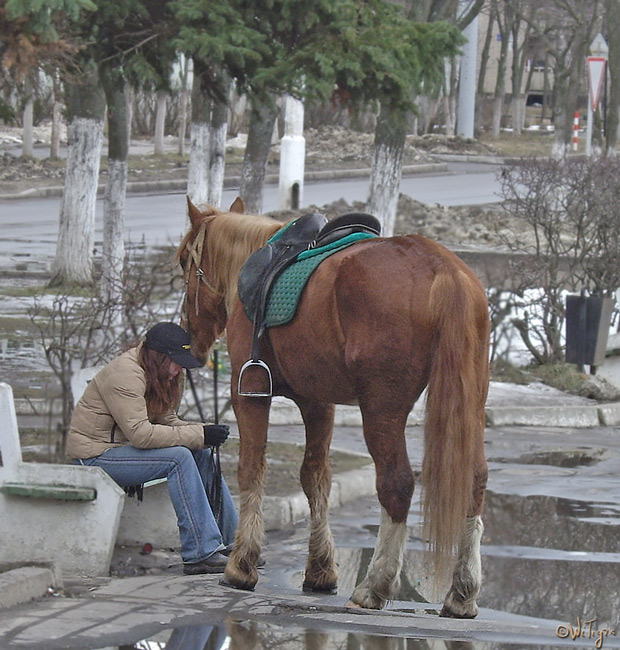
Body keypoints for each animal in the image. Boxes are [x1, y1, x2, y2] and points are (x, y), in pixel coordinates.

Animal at [177, 196, 492, 612]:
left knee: (396, 484)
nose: (188, 335)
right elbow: (315, 479)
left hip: (382, 409)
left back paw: (375, 585)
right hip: (469, 404)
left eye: (184, 260)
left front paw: (241, 565)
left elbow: (251, 470)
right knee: (475, 481)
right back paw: (462, 592)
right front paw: (320, 570)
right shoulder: (318, 403)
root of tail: (444, 268)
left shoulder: (249, 396)